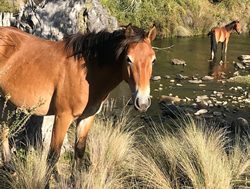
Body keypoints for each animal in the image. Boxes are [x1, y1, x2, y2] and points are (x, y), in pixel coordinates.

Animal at [0, 23, 156, 182]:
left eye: (153, 60)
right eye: (128, 59)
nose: (143, 102)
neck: (87, 74)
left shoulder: (87, 117)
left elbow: (80, 150)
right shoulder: (63, 117)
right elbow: (53, 156)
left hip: (7, 100)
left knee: (4, 129)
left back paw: (9, 167)